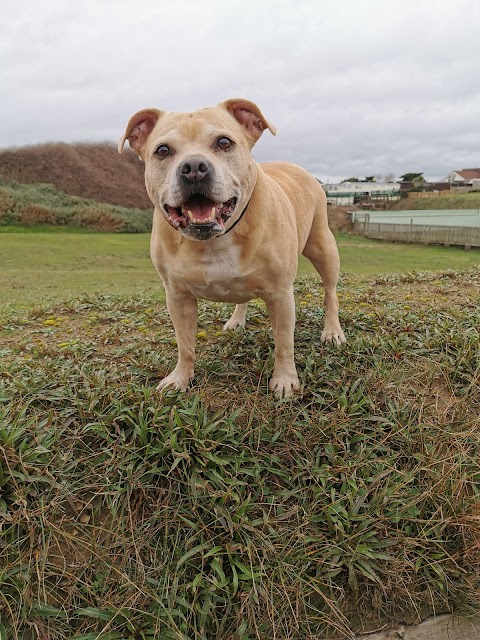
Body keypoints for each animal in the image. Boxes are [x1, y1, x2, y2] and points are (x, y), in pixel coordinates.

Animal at [119, 97, 344, 398]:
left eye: (224, 143)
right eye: (163, 150)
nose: (193, 167)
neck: (213, 240)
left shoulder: (281, 295)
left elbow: (284, 343)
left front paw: (285, 380)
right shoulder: (177, 297)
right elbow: (184, 344)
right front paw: (181, 378)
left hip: (322, 247)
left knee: (330, 292)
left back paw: (332, 331)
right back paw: (237, 320)